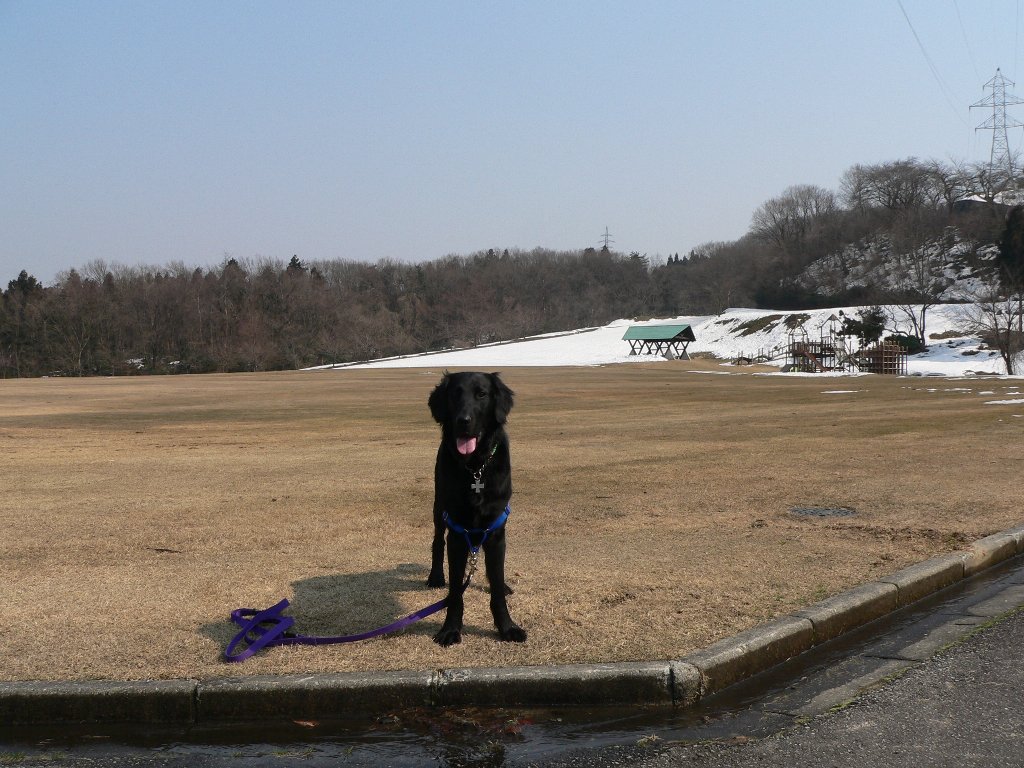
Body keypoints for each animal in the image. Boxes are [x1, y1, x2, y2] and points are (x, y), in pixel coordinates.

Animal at [426, 371, 527, 647]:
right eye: (454, 394)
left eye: (482, 394)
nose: (463, 421)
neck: (476, 468)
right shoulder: (457, 532)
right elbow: (455, 593)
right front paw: (450, 629)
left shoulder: (496, 530)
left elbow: (497, 587)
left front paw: (507, 627)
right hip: (439, 508)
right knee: (437, 541)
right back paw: (435, 577)